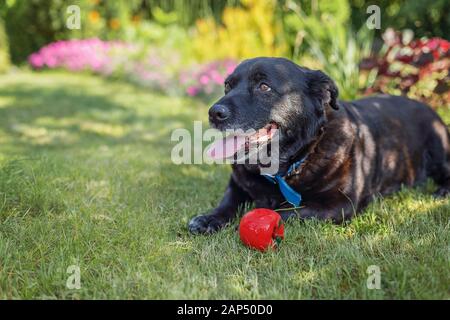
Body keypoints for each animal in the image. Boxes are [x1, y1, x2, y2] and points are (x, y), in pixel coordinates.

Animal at [188, 57, 450, 235]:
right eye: (227, 86)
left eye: (264, 86)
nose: (214, 113)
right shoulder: (237, 185)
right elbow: (227, 202)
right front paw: (209, 218)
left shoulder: (340, 204)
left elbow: (287, 212)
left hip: (439, 153)